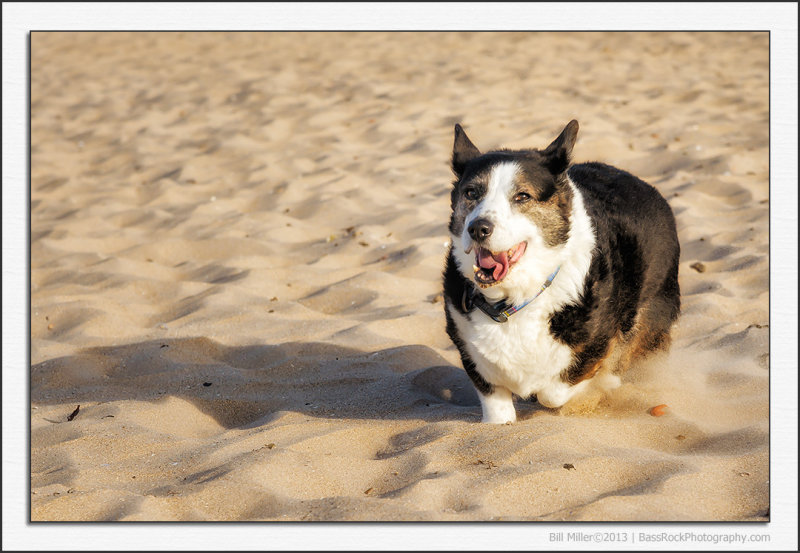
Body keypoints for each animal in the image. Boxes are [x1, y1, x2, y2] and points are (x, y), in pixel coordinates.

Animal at [444, 121, 680, 422]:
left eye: (522, 196)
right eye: (472, 193)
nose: (478, 228)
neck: (514, 300)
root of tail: (643, 185)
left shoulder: (594, 346)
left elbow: (554, 391)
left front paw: (592, 388)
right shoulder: (473, 358)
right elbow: (497, 412)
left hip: (652, 309)